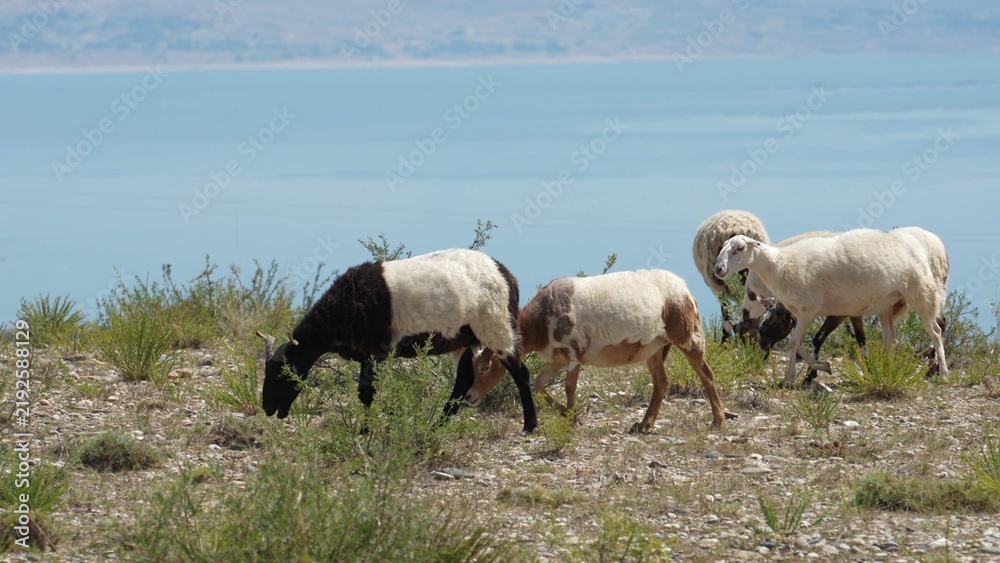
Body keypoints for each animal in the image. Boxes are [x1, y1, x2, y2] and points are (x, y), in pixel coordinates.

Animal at [256, 248, 538, 433]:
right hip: (462, 340)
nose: (268, 408)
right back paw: (436, 426)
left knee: (521, 372)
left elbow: (365, 393)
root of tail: (507, 276)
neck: (341, 309)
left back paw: (530, 425)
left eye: (281, 375)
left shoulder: (375, 351)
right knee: (464, 381)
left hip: (496, 325)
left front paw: (365, 433)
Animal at [464, 269, 728, 433]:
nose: (469, 396)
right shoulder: (554, 359)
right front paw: (566, 413)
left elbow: (569, 387)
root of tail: (686, 290)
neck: (542, 321)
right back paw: (644, 425)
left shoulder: (573, 354)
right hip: (654, 347)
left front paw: (572, 416)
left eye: (485, 367)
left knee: (707, 374)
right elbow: (539, 386)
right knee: (661, 382)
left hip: (687, 335)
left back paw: (718, 420)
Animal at [715, 228, 948, 387]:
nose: (718, 269)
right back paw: (886, 369)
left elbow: (795, 343)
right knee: (891, 340)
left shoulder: (809, 309)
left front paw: (792, 377)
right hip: (887, 305)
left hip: (921, 293)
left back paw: (943, 372)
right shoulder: (801, 312)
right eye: (723, 247)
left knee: (936, 332)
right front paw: (820, 368)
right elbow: (799, 343)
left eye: (740, 248)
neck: (780, 266)